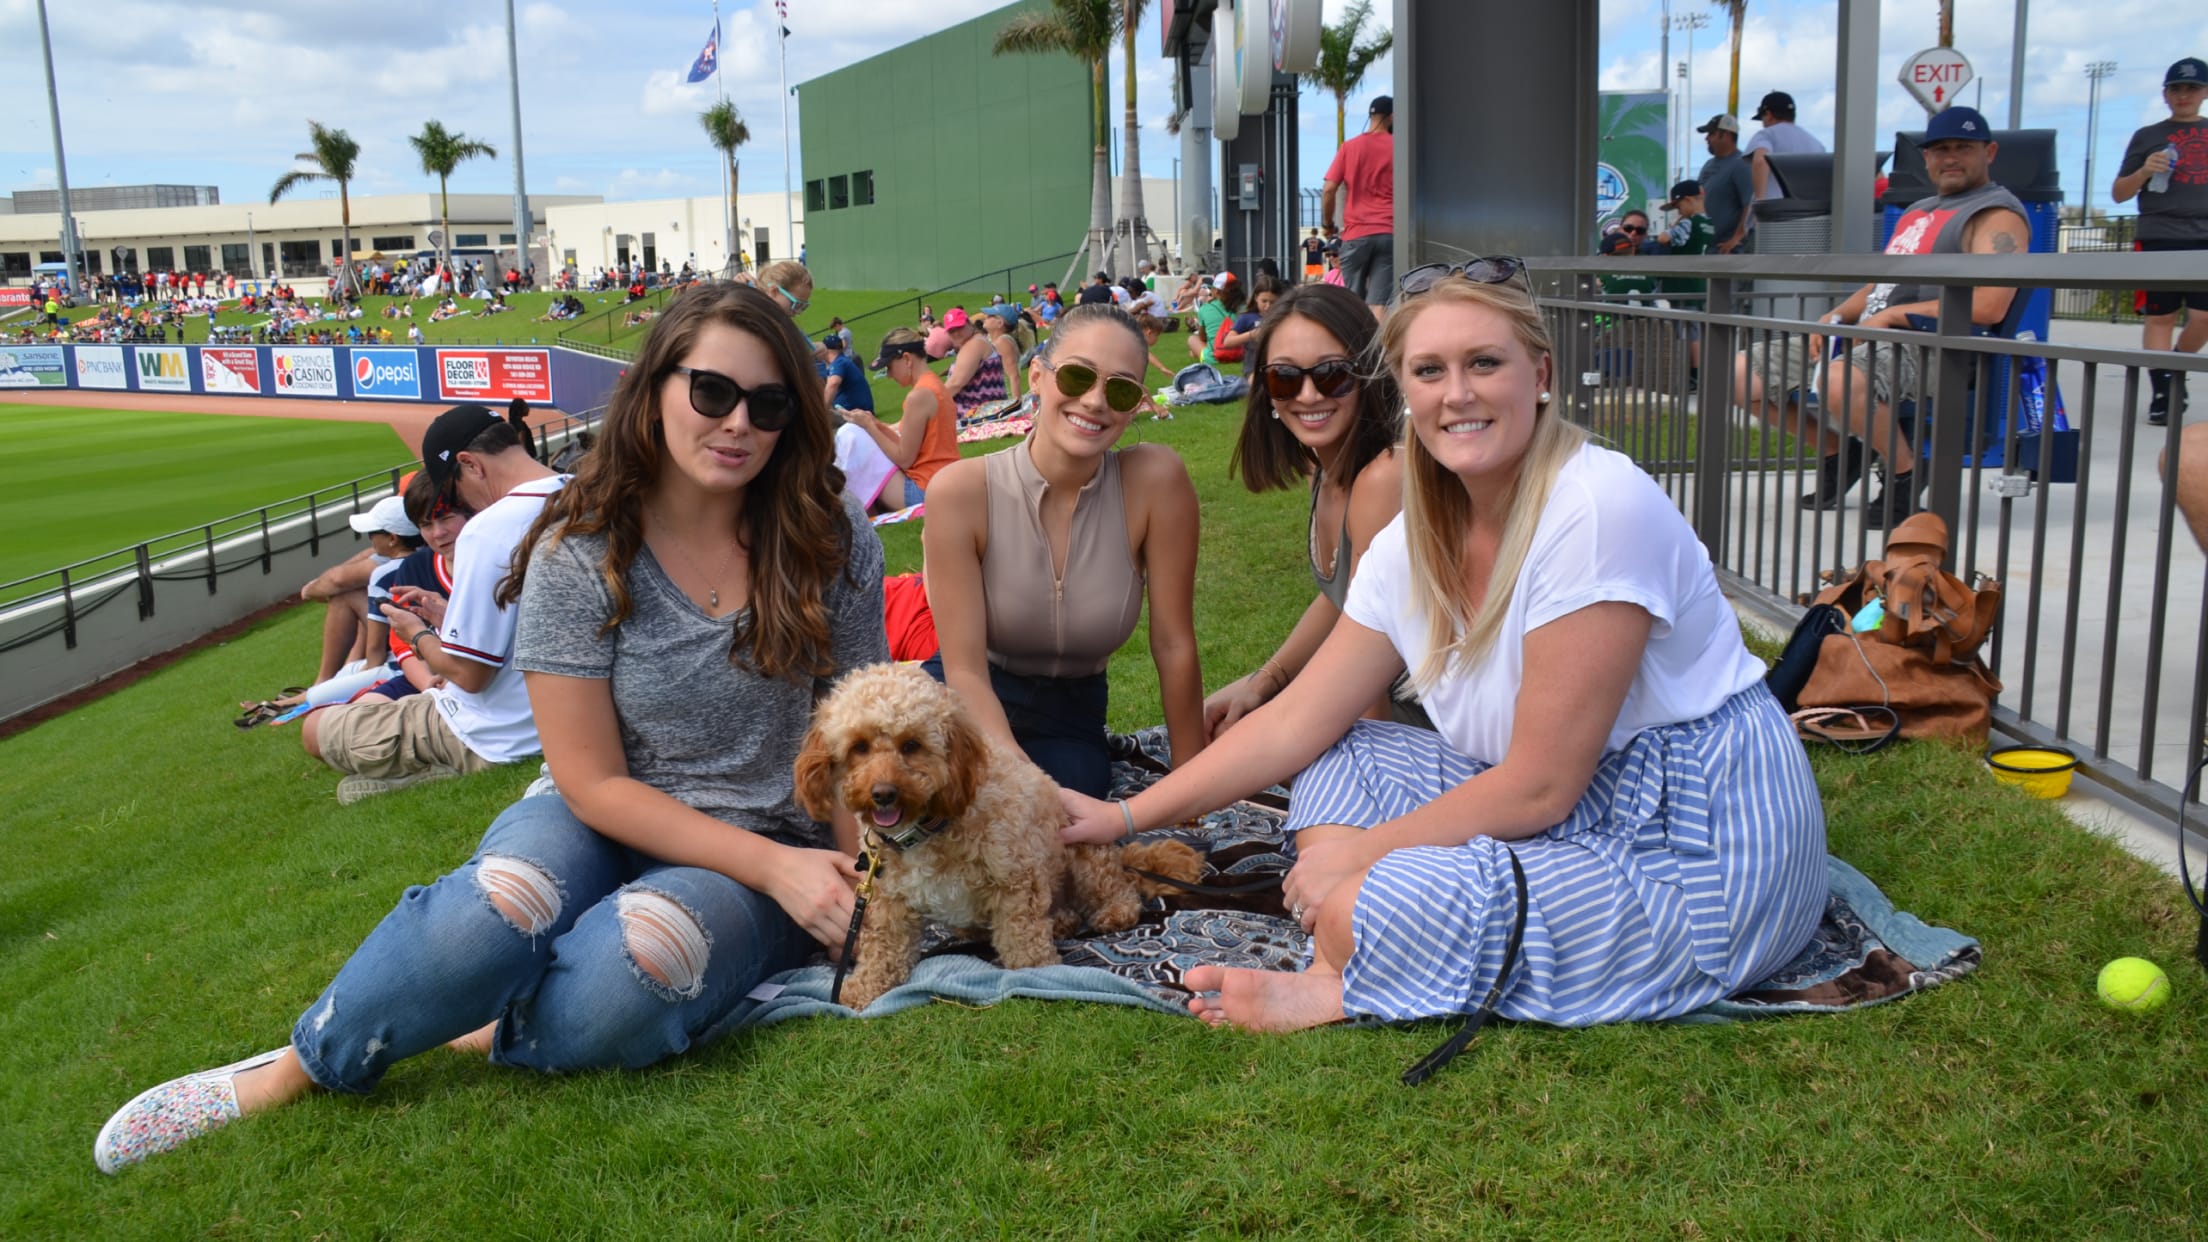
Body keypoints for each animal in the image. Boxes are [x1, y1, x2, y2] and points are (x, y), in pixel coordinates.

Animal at [799, 658, 1201, 1007]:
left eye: (911, 744)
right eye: (859, 746)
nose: (883, 793)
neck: (929, 827)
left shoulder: (1016, 878)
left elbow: (1022, 938)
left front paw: (1038, 976)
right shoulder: (889, 902)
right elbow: (883, 949)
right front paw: (863, 988)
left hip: (1085, 852)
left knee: (1119, 891)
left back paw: (1110, 912)